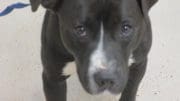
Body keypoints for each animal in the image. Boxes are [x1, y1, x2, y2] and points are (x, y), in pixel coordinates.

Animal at [29, 0, 158, 100]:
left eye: (126, 28)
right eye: (80, 29)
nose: (106, 79)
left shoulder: (139, 63)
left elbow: (130, 91)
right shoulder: (52, 79)